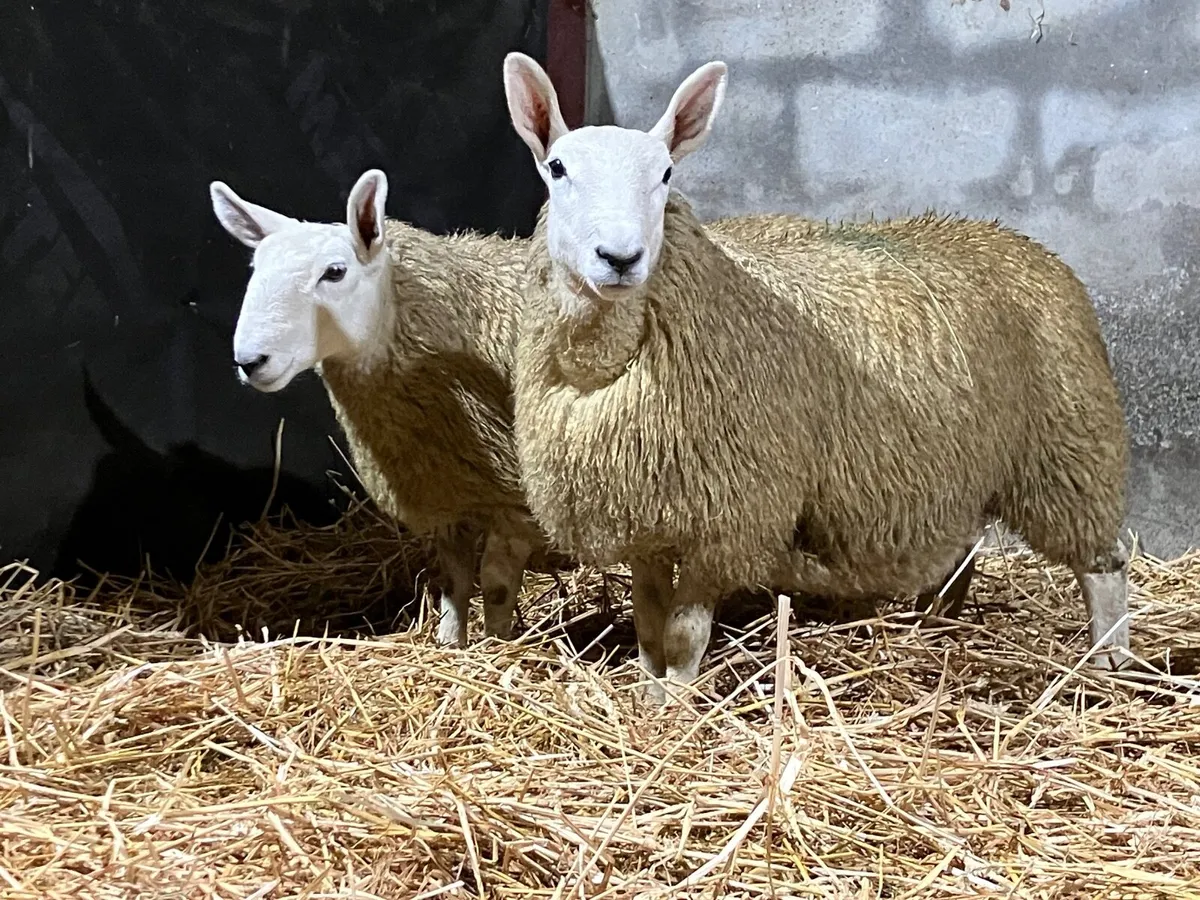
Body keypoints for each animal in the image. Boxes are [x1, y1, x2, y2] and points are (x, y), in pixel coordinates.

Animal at [209, 169, 556, 647]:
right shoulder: (445, 491)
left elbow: (497, 584)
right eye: (255, 269)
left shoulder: (515, 502)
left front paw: (498, 646)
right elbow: (454, 582)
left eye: (335, 272)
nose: (250, 360)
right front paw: (449, 644)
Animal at [501, 53, 1133, 698]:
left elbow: (681, 636)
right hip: (960, 471)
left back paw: (1110, 658)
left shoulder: (730, 517)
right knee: (960, 554)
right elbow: (649, 628)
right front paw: (650, 697)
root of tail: (1016, 240)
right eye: (558, 168)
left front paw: (677, 703)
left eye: (667, 173)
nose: (621, 258)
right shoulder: (644, 516)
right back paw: (932, 626)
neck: (603, 360)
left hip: (1069, 448)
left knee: (1103, 566)